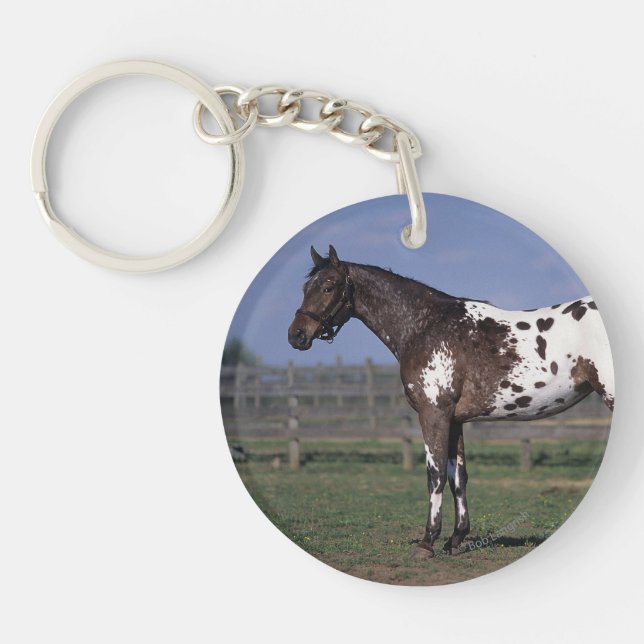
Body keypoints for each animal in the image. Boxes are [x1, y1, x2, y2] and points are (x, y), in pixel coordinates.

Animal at [287, 245, 614, 558]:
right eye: (305, 287)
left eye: (328, 286)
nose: (296, 335)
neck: (424, 326)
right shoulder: (455, 420)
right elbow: (458, 477)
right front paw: (455, 540)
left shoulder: (433, 414)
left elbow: (434, 476)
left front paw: (427, 542)